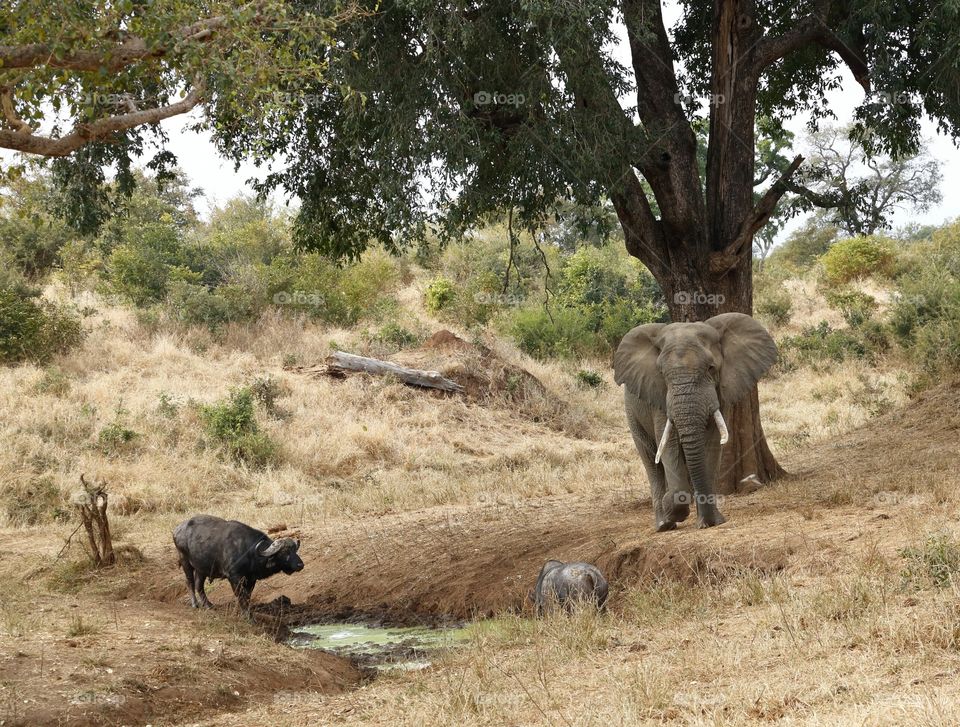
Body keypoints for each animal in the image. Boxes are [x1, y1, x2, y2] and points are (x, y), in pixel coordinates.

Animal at [173, 516, 304, 612]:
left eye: (294, 550)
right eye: (284, 552)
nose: (300, 565)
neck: (249, 552)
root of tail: (177, 529)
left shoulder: (251, 579)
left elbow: (247, 596)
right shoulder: (234, 577)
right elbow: (240, 596)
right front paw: (246, 614)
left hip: (201, 569)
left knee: (199, 585)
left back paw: (209, 605)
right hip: (185, 562)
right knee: (189, 582)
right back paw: (195, 604)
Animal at [616, 312, 780, 528]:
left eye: (711, 368)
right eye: (662, 374)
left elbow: (711, 445)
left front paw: (711, 522)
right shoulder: (660, 400)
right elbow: (669, 447)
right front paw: (674, 508)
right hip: (632, 414)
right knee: (652, 462)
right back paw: (664, 524)